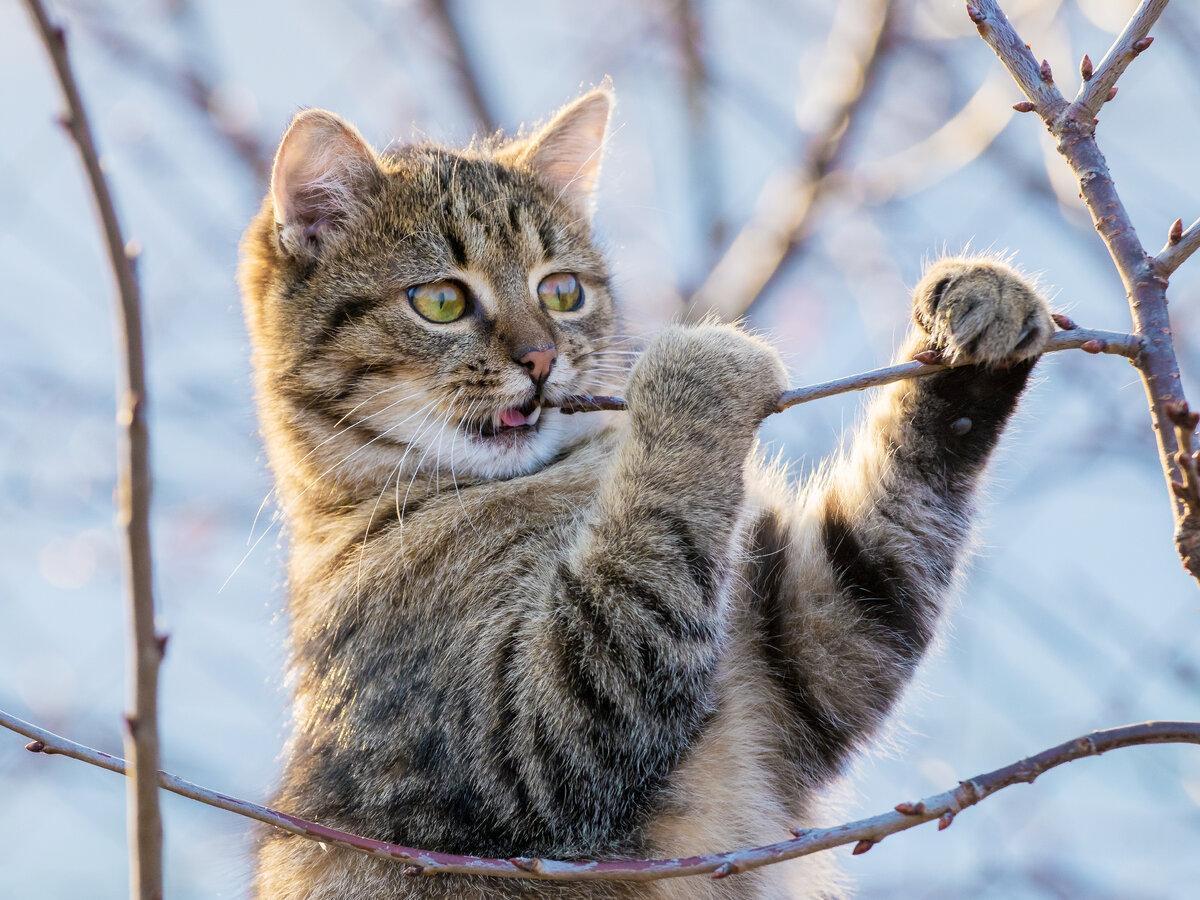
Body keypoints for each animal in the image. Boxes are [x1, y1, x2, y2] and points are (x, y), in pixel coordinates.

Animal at [238, 86, 1056, 900]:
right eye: (439, 301)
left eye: (562, 290)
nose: (542, 358)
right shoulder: (527, 735)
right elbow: (637, 580)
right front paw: (698, 369)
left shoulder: (810, 650)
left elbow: (882, 550)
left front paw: (977, 315)